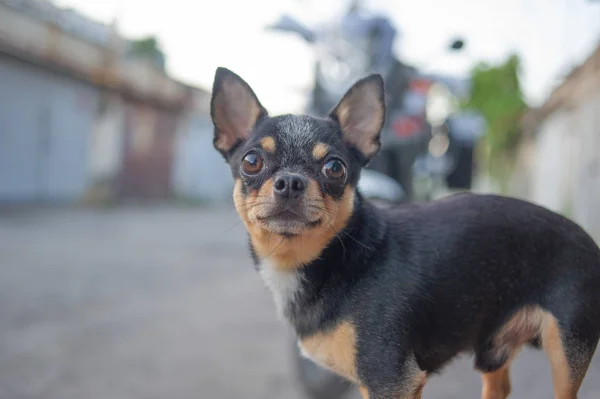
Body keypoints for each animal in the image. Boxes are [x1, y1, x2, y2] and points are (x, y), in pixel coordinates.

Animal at [210, 67, 600, 398]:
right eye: (252, 161)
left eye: (334, 168)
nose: (290, 182)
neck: (337, 259)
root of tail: (588, 240)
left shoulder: (391, 381)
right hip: (494, 349)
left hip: (566, 350)